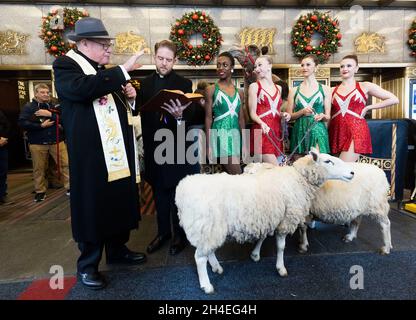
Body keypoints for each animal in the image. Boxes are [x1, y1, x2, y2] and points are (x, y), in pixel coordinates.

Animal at [176, 149, 354, 294]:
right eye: (328, 161)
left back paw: (216, 267)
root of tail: (182, 190)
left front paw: (255, 254)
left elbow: (263, 237)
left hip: (210, 229)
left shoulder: (268, 217)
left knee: (208, 251)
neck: (299, 180)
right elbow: (281, 247)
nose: (352, 172)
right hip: (207, 226)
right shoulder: (285, 220)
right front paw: (281, 268)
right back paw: (207, 285)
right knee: (199, 258)